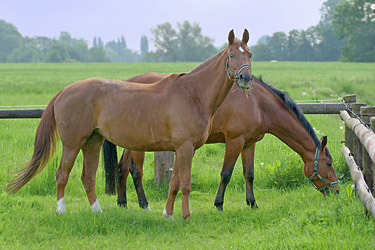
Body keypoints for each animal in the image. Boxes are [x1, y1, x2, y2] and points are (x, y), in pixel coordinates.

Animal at [5, 29, 254, 221]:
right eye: (232, 55)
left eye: (250, 54)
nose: (246, 79)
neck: (193, 94)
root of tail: (64, 91)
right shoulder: (185, 147)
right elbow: (185, 184)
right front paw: (186, 217)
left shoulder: (181, 149)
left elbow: (174, 183)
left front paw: (168, 214)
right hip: (72, 144)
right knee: (62, 174)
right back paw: (61, 211)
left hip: (93, 142)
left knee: (88, 177)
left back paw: (97, 211)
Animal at [102, 74, 340, 211]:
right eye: (329, 164)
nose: (337, 191)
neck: (258, 103)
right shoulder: (234, 141)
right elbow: (226, 174)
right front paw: (219, 204)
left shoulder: (249, 143)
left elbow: (249, 174)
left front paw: (252, 203)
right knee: (135, 170)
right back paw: (143, 204)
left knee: (122, 167)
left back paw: (122, 202)